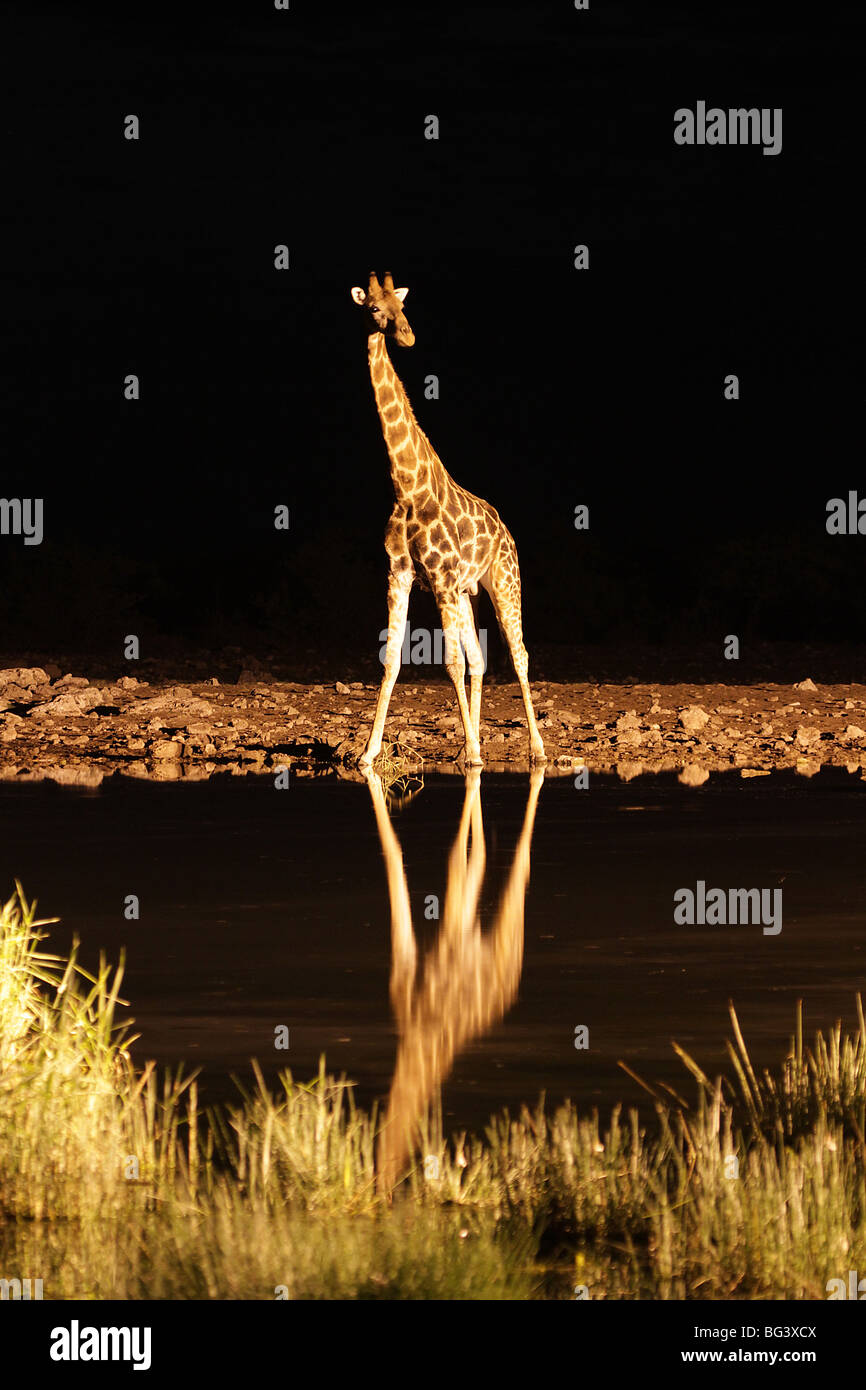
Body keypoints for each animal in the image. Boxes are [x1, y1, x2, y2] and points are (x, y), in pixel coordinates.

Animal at [351, 270, 546, 770]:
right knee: (480, 660)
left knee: (519, 654)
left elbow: (451, 662)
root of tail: (505, 530)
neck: (406, 485)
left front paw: (477, 752)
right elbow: (392, 659)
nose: (406, 335)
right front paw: (367, 753)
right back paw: (465, 744)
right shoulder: (401, 573)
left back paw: (535, 749)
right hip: (466, 591)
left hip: (503, 581)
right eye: (375, 309)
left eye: (402, 308)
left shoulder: (438, 578)